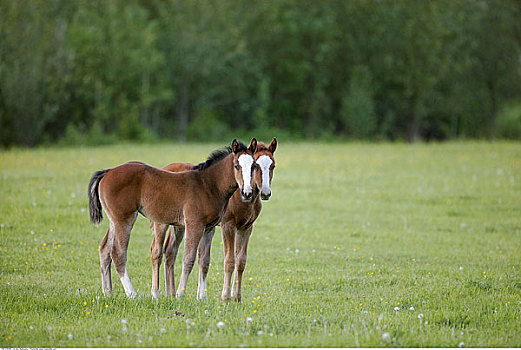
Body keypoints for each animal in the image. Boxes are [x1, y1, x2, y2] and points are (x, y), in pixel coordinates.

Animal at [88, 138, 256, 296]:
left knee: (104, 250)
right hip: (125, 219)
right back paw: (132, 294)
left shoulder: (209, 228)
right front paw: (180, 294)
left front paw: (202, 297)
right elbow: (188, 259)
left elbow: (204, 261)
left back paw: (108, 293)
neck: (208, 185)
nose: (247, 192)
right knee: (118, 253)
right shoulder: (194, 225)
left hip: (114, 221)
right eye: (236, 165)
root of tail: (108, 171)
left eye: (254, 166)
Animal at [153, 137, 276, 300]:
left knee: (170, 251)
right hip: (161, 223)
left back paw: (172, 294)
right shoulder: (228, 226)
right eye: (256, 166)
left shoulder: (246, 227)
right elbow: (229, 260)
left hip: (178, 225)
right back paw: (157, 294)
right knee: (157, 251)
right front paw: (225, 297)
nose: (265, 193)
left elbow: (240, 261)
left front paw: (236, 297)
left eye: (273, 165)